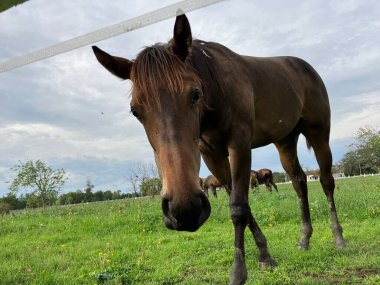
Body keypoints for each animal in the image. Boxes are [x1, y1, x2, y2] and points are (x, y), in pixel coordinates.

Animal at [92, 13, 344, 284]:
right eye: (135, 111)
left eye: (195, 95)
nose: (185, 210)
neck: (217, 88)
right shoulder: (212, 154)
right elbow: (240, 201)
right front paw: (265, 256)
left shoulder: (240, 145)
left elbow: (238, 207)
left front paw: (238, 273)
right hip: (285, 142)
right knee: (299, 183)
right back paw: (304, 239)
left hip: (319, 134)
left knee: (326, 182)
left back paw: (338, 238)